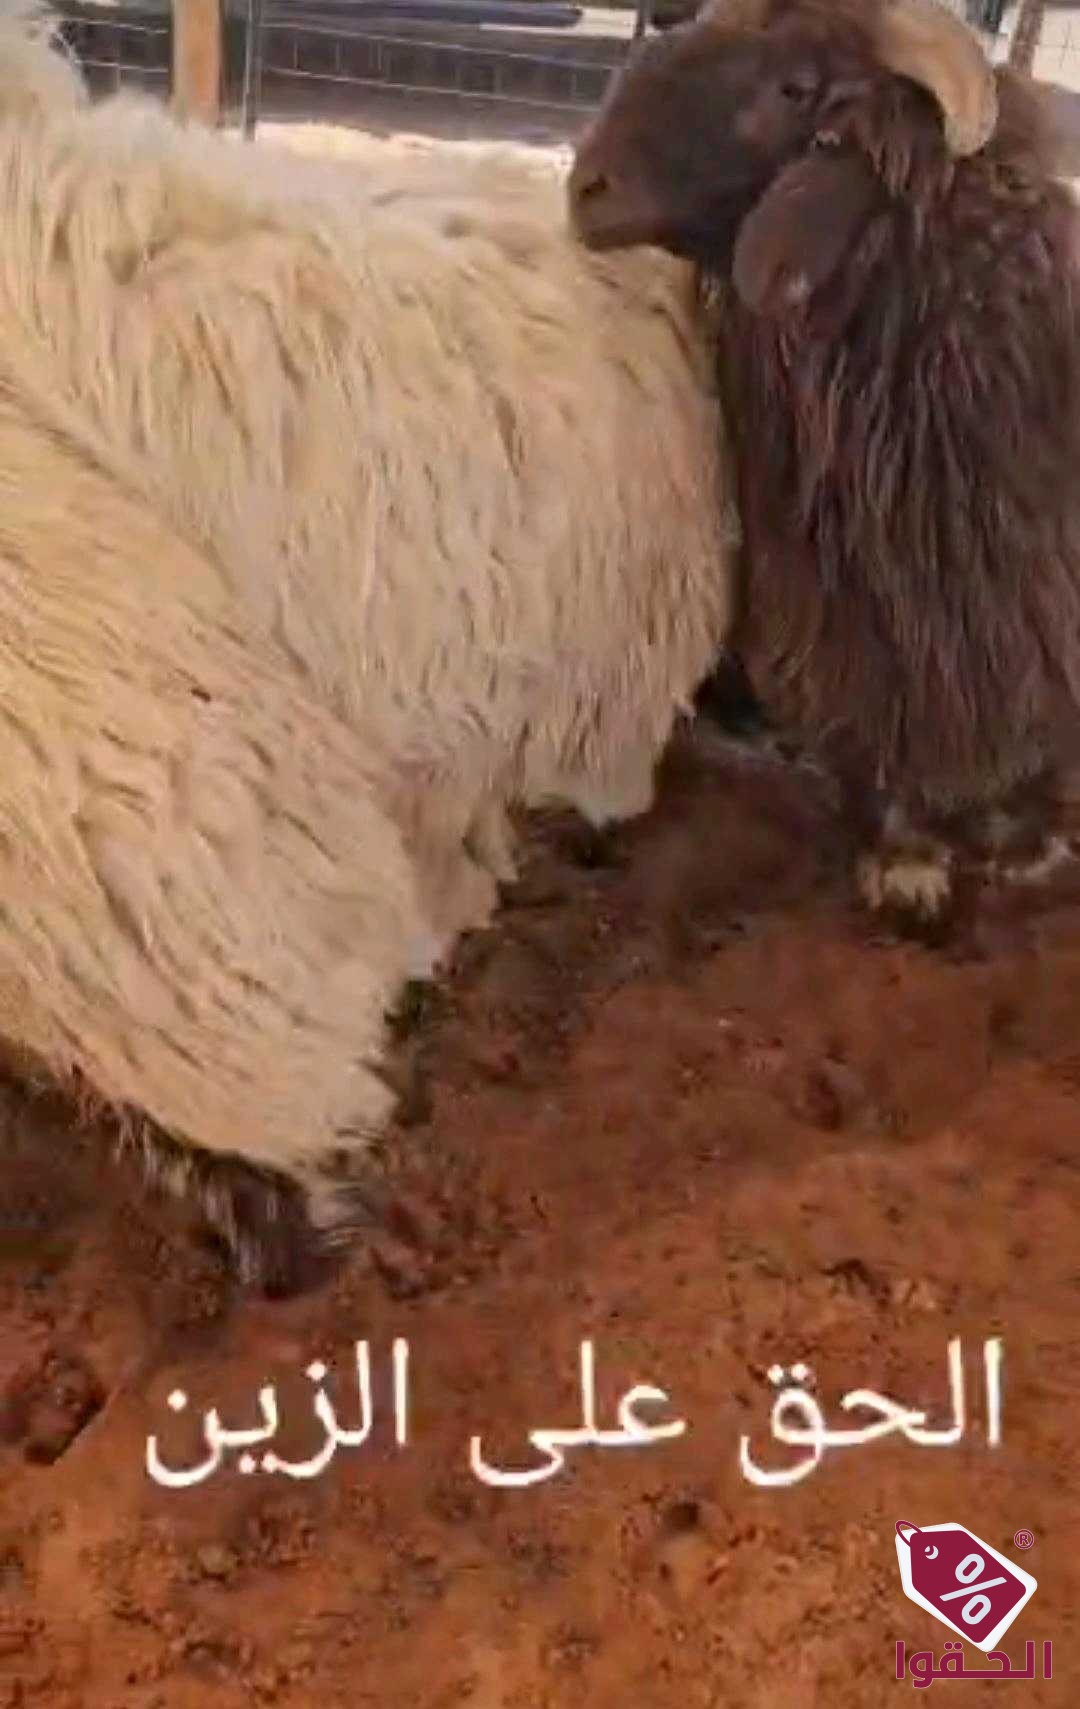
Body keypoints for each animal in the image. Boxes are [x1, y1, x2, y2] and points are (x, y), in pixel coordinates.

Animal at [568, 0, 1080, 935]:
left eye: (795, 87)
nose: (585, 189)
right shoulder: (848, 596)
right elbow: (889, 713)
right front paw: (906, 857)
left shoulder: (1025, 588)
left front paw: (1022, 838)